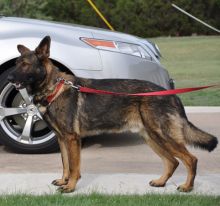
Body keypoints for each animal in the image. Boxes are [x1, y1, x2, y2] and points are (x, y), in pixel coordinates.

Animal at [7, 36, 217, 192]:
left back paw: (187, 187)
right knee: (172, 161)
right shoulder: (62, 139)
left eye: (25, 64)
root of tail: (171, 94)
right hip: (151, 137)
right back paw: (161, 182)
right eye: (16, 63)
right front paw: (63, 180)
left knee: (190, 159)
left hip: (163, 136)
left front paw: (71, 186)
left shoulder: (72, 139)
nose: (8, 77)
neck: (54, 88)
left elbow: (74, 167)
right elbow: (65, 163)